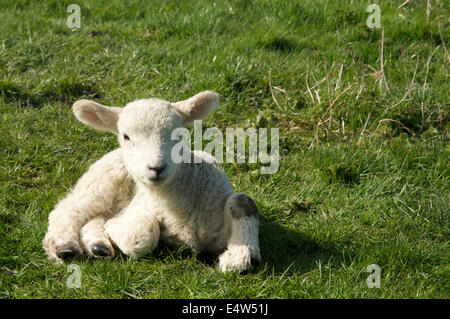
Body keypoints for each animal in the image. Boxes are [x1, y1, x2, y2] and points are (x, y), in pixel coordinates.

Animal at [43, 91, 260, 274]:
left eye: (179, 134)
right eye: (126, 136)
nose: (156, 168)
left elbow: (243, 201)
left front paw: (238, 257)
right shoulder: (139, 210)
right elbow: (142, 235)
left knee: (95, 217)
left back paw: (99, 246)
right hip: (102, 181)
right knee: (67, 209)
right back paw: (65, 246)